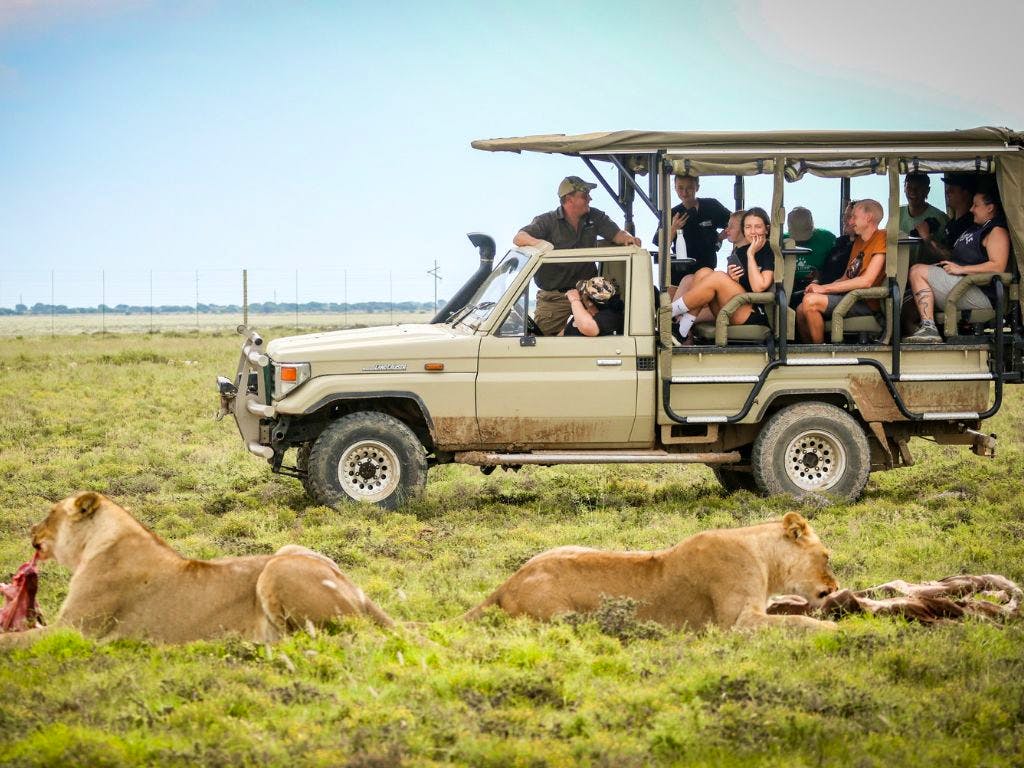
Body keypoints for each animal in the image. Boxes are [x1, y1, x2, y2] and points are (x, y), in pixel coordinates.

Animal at [1, 491, 393, 645]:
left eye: (50, 513)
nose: (31, 530)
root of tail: (358, 592)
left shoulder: (75, 630)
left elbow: (10, 641)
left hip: (278, 569)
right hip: (292, 550)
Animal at [465, 512, 838, 631]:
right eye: (827, 556)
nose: (834, 588)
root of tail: (508, 582)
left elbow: (791, 612)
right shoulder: (735, 622)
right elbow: (797, 622)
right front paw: (834, 629)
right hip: (563, 618)